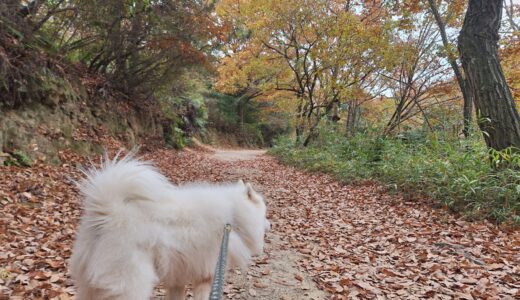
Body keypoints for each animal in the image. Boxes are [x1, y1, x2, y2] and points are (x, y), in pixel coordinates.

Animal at [70, 156, 270, 298]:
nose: (270, 223)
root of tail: (110, 212)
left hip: (91, 286)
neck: (232, 215)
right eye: (264, 211)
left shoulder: (177, 279)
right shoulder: (206, 277)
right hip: (132, 283)